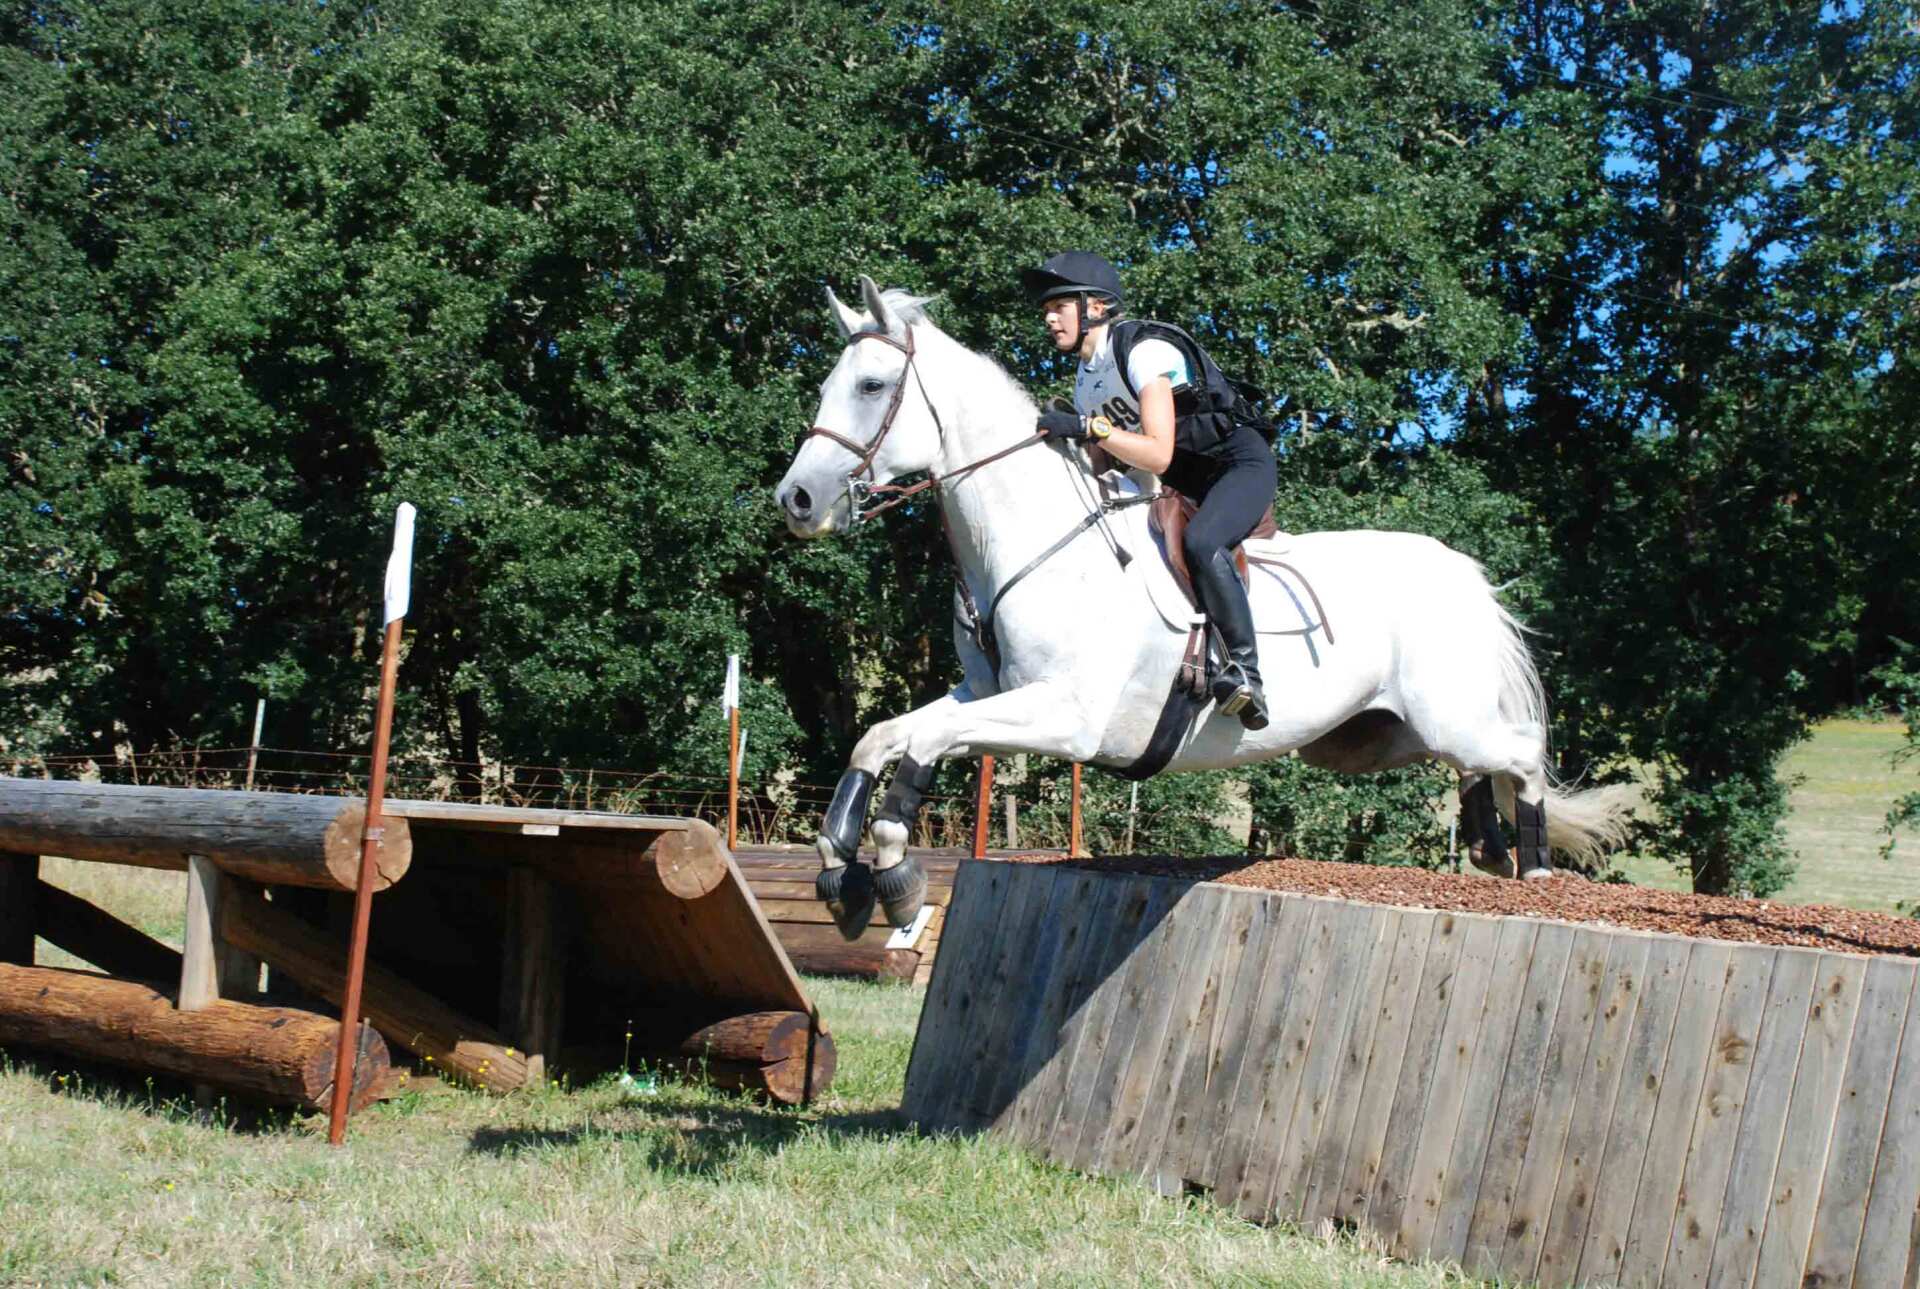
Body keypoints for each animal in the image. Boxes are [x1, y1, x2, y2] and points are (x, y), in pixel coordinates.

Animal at [774, 276, 1632, 938]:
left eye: (871, 386)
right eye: (823, 387)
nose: (797, 500)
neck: (1034, 538)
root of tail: (1461, 571)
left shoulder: (1065, 715)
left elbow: (923, 744)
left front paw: (892, 867)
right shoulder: (986, 694)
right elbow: (884, 737)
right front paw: (842, 866)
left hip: (1447, 715)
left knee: (1521, 752)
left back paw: (1535, 867)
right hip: (1382, 736)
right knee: (1478, 764)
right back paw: (1491, 848)